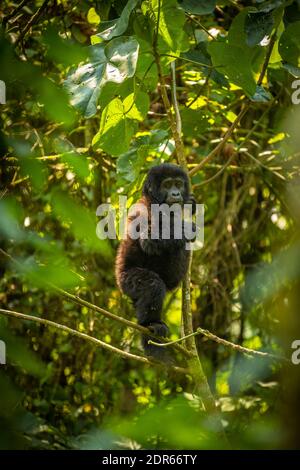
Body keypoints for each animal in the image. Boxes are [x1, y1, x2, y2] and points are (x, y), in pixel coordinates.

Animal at [115, 163, 195, 358]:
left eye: (178, 184)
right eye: (167, 185)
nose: (176, 194)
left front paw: (190, 205)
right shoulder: (145, 211)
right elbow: (149, 240)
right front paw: (188, 227)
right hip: (126, 281)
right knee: (153, 284)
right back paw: (151, 325)